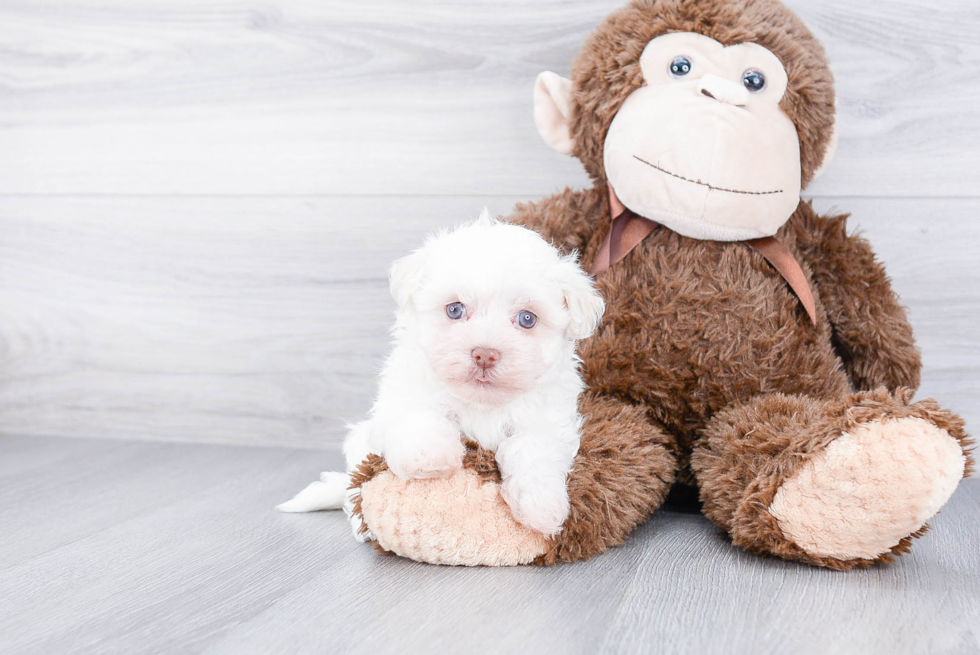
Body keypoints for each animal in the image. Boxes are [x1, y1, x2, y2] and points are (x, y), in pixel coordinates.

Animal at [278, 211, 604, 540]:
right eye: (455, 309)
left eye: (527, 319)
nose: (485, 353)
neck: (482, 404)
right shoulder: (404, 391)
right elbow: (421, 415)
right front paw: (429, 457)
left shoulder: (548, 421)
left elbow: (534, 451)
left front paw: (541, 506)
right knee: (353, 489)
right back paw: (362, 526)